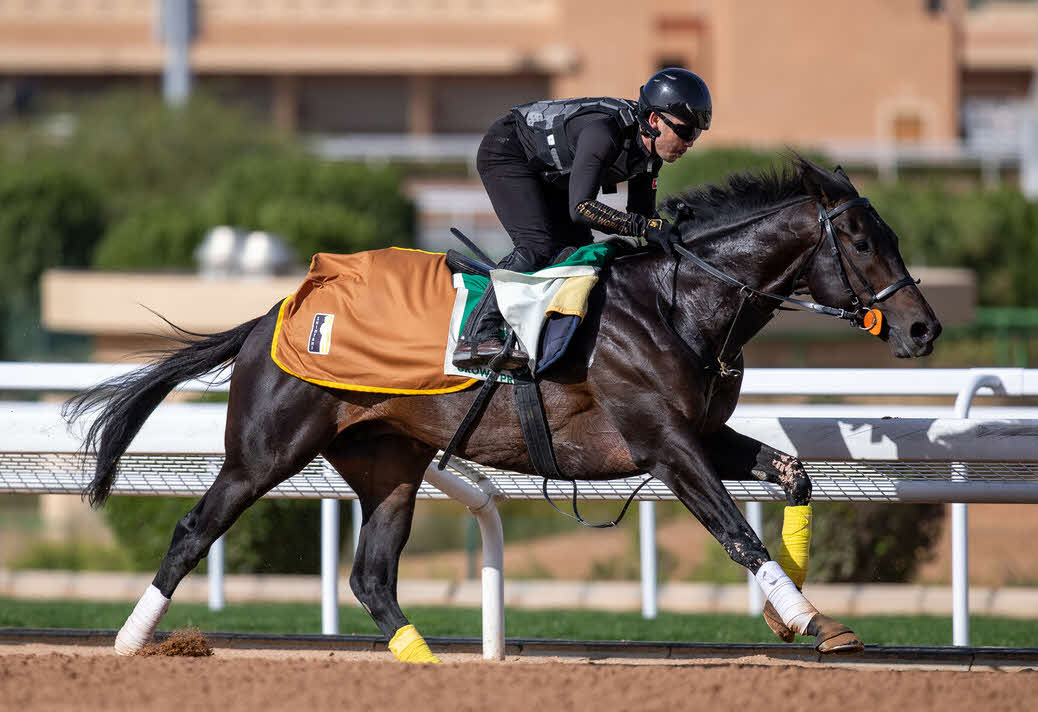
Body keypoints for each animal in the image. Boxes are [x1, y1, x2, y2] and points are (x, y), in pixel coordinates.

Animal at [66, 157, 940, 661]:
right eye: (863, 243)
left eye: (894, 235)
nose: (923, 328)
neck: (681, 302)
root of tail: (273, 315)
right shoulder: (663, 442)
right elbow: (734, 530)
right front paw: (805, 616)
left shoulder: (700, 431)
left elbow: (794, 476)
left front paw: (799, 619)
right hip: (265, 451)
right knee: (193, 531)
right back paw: (128, 643)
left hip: (391, 464)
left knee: (371, 574)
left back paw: (425, 663)